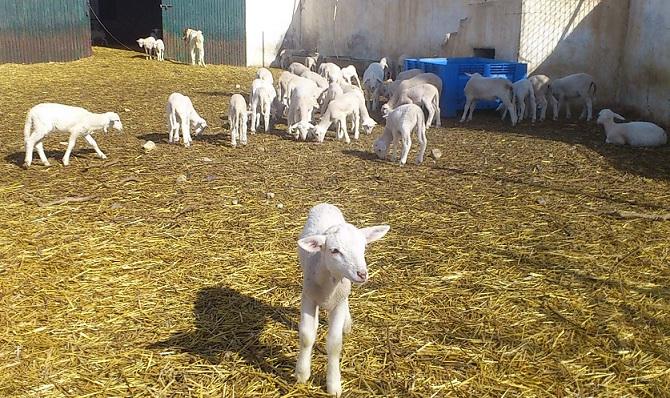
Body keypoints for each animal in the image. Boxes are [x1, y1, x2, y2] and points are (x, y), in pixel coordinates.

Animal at [296, 204, 392, 396]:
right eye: (334, 250)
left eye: (364, 247)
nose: (362, 274)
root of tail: (326, 203)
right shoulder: (308, 297)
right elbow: (307, 336)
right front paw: (302, 373)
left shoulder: (339, 303)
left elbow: (334, 344)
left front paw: (333, 385)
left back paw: (346, 323)